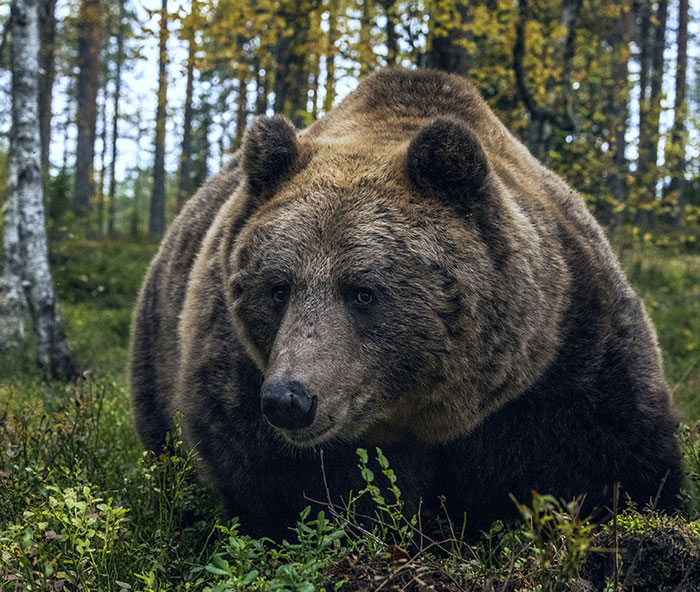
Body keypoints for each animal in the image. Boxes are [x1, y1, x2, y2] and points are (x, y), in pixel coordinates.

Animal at [130, 68, 683, 539]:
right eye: (278, 287)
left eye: (363, 291)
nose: (290, 399)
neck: (421, 415)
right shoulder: (238, 371)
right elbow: (282, 485)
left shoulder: (564, 356)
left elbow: (613, 462)